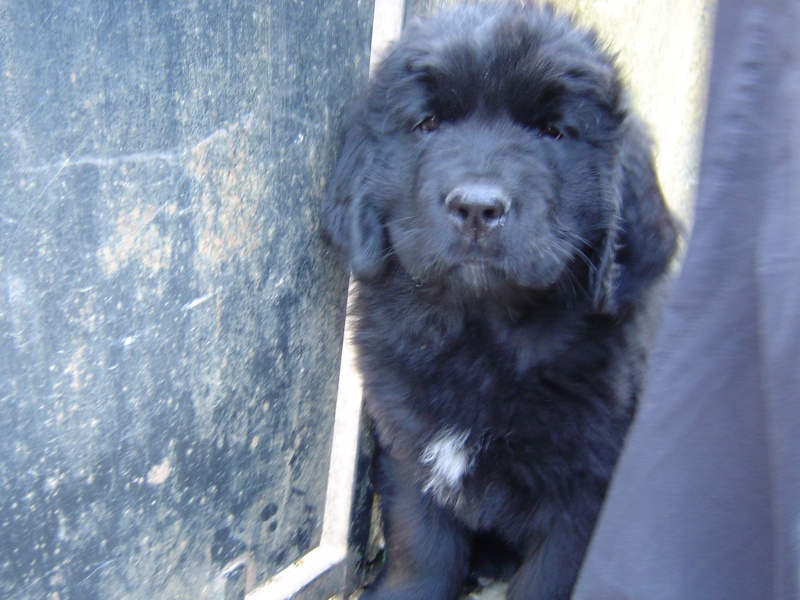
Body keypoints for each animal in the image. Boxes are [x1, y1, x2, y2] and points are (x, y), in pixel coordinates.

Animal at [322, 2, 680, 596]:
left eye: (553, 132)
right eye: (428, 124)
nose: (476, 207)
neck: (482, 336)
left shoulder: (587, 491)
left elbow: (549, 578)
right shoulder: (409, 448)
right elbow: (421, 547)